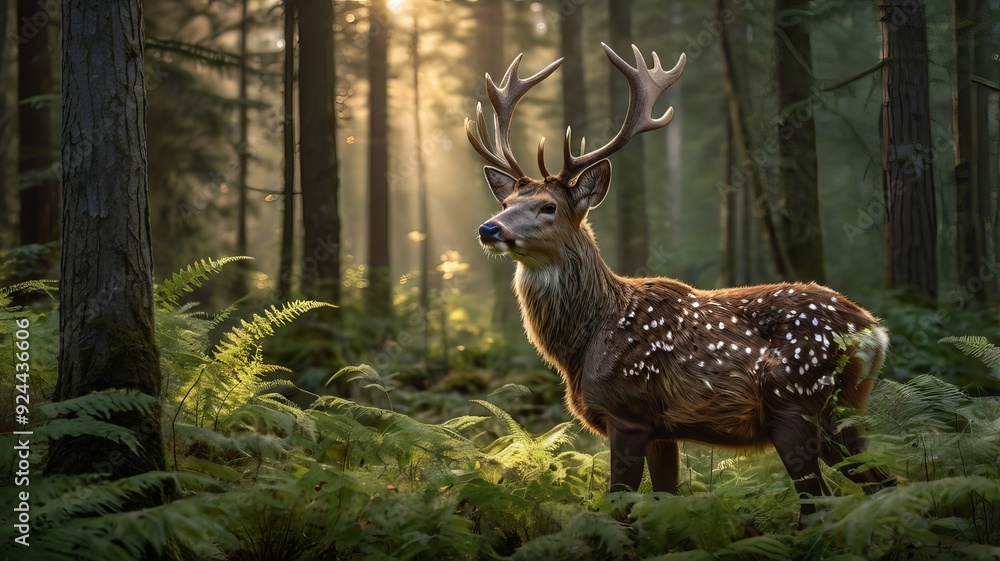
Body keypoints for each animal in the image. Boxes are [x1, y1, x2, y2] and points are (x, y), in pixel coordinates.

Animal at [466, 43, 894, 516]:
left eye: (548, 207)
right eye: (506, 202)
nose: (489, 228)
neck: (583, 344)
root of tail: (875, 333)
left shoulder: (629, 413)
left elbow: (620, 509)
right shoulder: (662, 428)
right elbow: (664, 501)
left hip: (796, 400)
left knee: (819, 502)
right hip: (841, 413)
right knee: (887, 483)